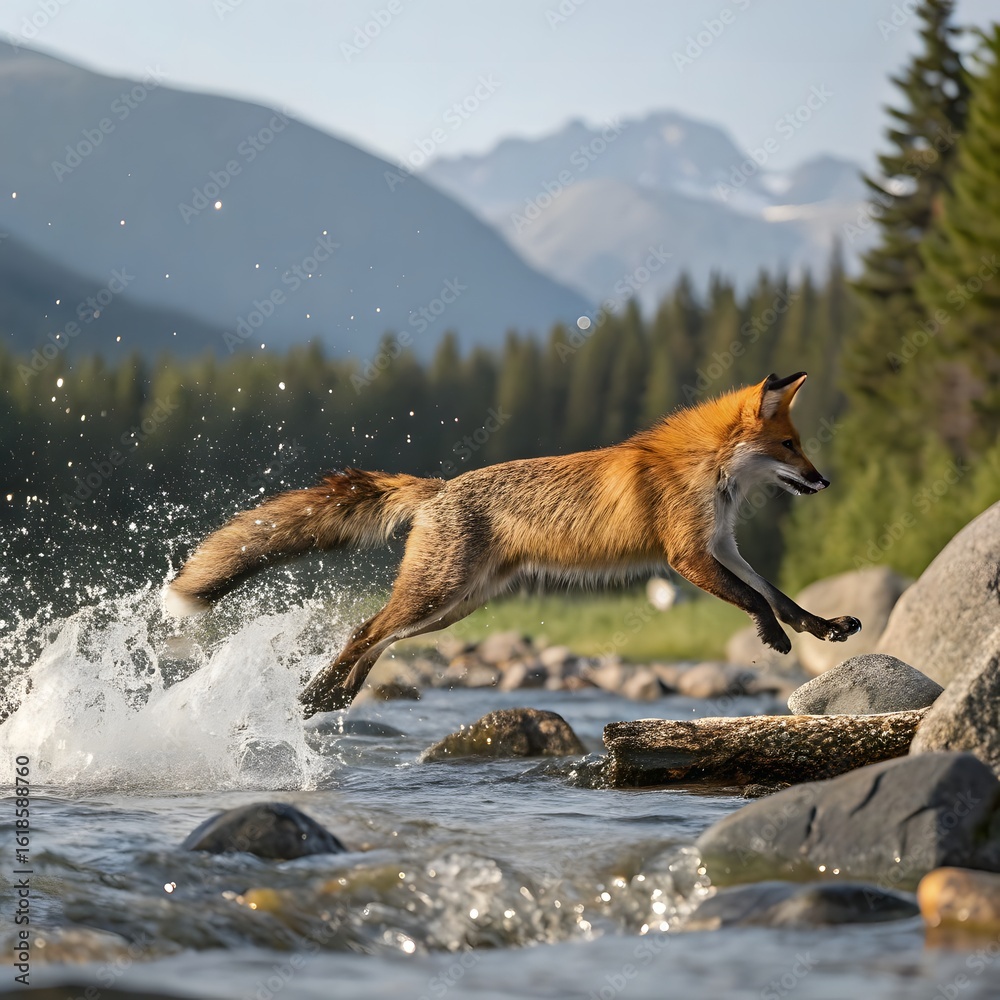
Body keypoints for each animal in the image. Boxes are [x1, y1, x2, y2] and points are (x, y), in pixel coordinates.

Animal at [164, 372, 861, 715]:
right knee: (365, 628)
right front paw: (774, 638)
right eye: (790, 446)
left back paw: (333, 697)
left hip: (455, 607)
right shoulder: (688, 555)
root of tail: (437, 488)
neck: (708, 471)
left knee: (379, 637)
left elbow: (778, 592)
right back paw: (317, 694)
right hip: (438, 593)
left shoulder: (723, 546)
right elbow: (756, 600)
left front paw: (822, 627)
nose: (825, 480)